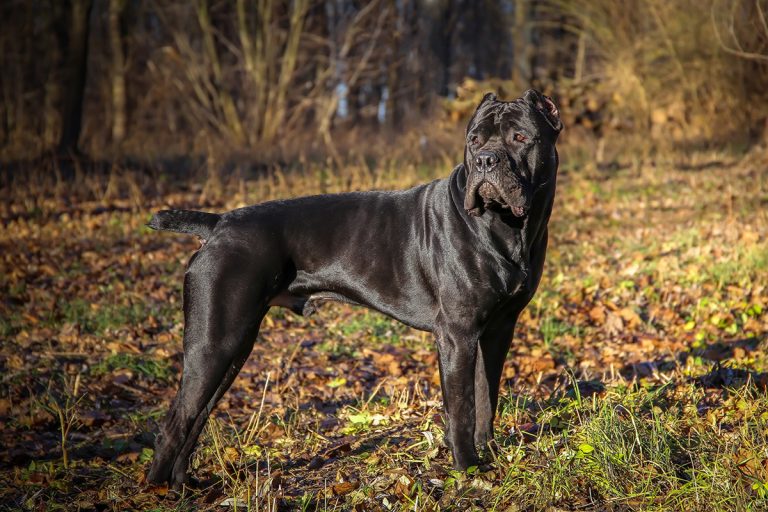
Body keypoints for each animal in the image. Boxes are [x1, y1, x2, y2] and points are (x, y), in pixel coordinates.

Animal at [146, 90, 564, 490]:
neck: (508, 229)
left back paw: (185, 486)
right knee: (175, 423)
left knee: (196, 419)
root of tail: (218, 224)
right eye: (474, 140)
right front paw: (467, 468)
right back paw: (161, 489)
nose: (485, 160)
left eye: (520, 137)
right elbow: (460, 408)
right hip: (214, 343)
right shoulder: (457, 336)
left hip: (234, 348)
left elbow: (486, 396)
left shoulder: (498, 331)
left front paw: (489, 454)